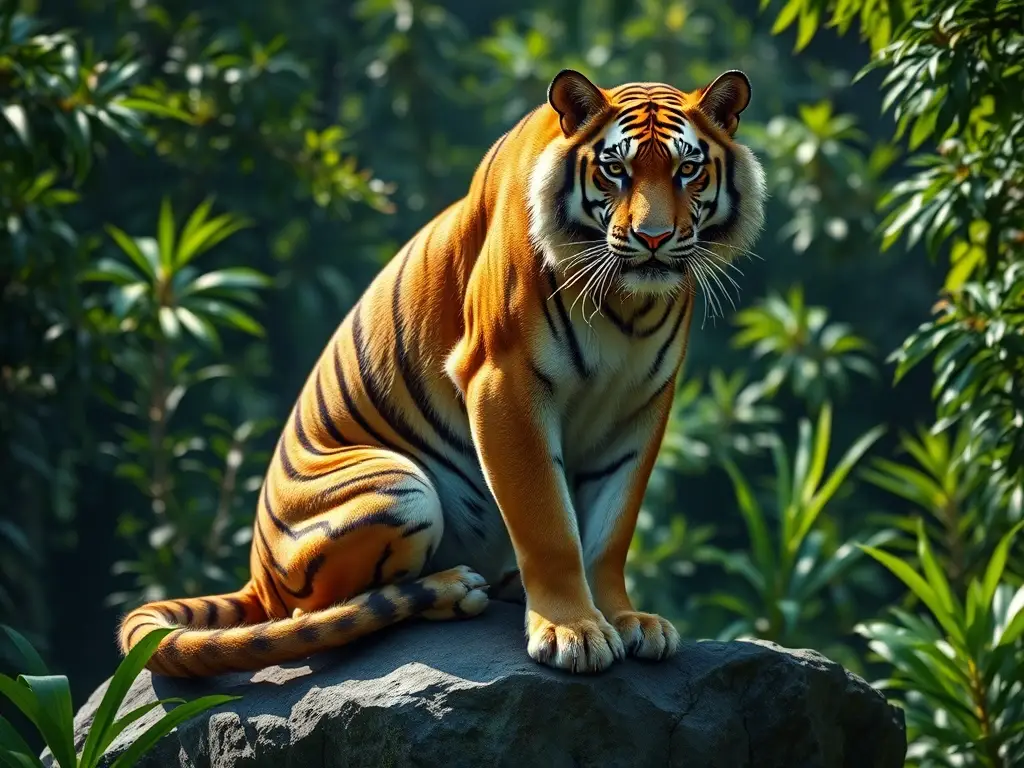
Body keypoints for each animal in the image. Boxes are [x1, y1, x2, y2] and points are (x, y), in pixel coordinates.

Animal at [118, 67, 766, 677]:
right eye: (615, 171)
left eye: (687, 170)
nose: (653, 239)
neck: (629, 307)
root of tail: (256, 577)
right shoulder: (503, 382)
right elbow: (548, 524)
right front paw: (573, 631)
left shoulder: (640, 404)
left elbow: (610, 530)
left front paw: (627, 619)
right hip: (398, 488)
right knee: (322, 616)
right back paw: (454, 590)